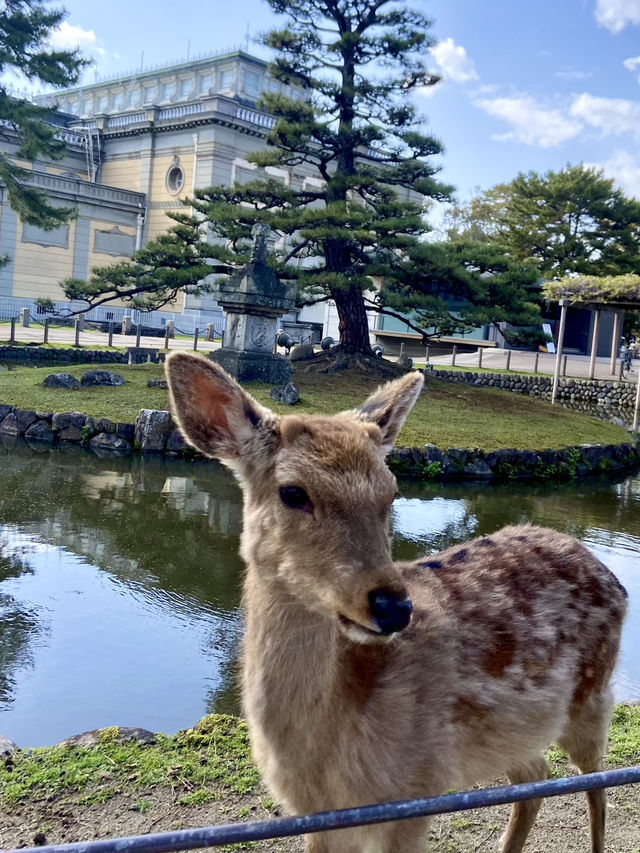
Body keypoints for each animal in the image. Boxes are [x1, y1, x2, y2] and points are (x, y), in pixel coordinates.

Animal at [166, 352, 632, 852]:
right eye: (292, 492)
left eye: (392, 492)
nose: (392, 606)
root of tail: (613, 579)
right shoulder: (313, 817)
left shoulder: (415, 793)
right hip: (515, 732)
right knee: (537, 775)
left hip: (592, 696)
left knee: (597, 783)